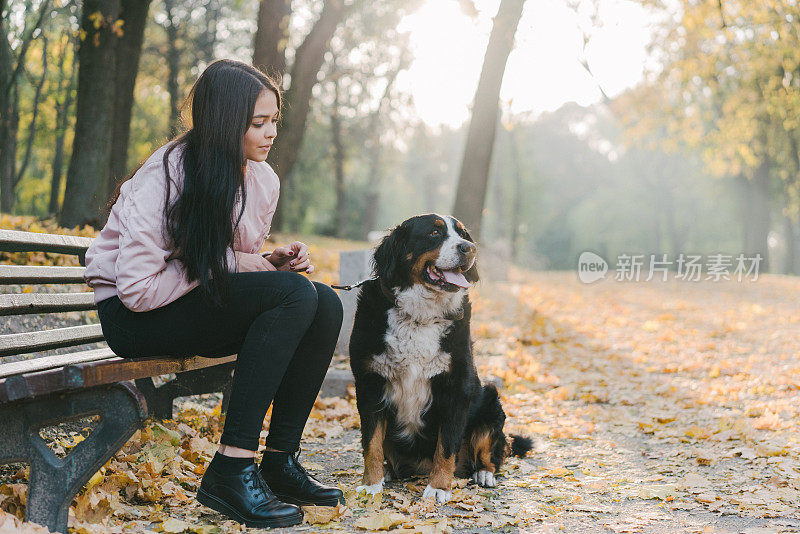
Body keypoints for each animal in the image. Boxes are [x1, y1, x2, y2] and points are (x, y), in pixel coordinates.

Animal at [348, 215, 532, 506]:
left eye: (463, 234)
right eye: (434, 233)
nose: (469, 248)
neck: (418, 317)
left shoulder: (456, 388)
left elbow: (446, 447)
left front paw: (438, 488)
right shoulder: (370, 384)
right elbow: (372, 443)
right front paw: (371, 484)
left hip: (490, 404)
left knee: (491, 454)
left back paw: (484, 474)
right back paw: (388, 472)